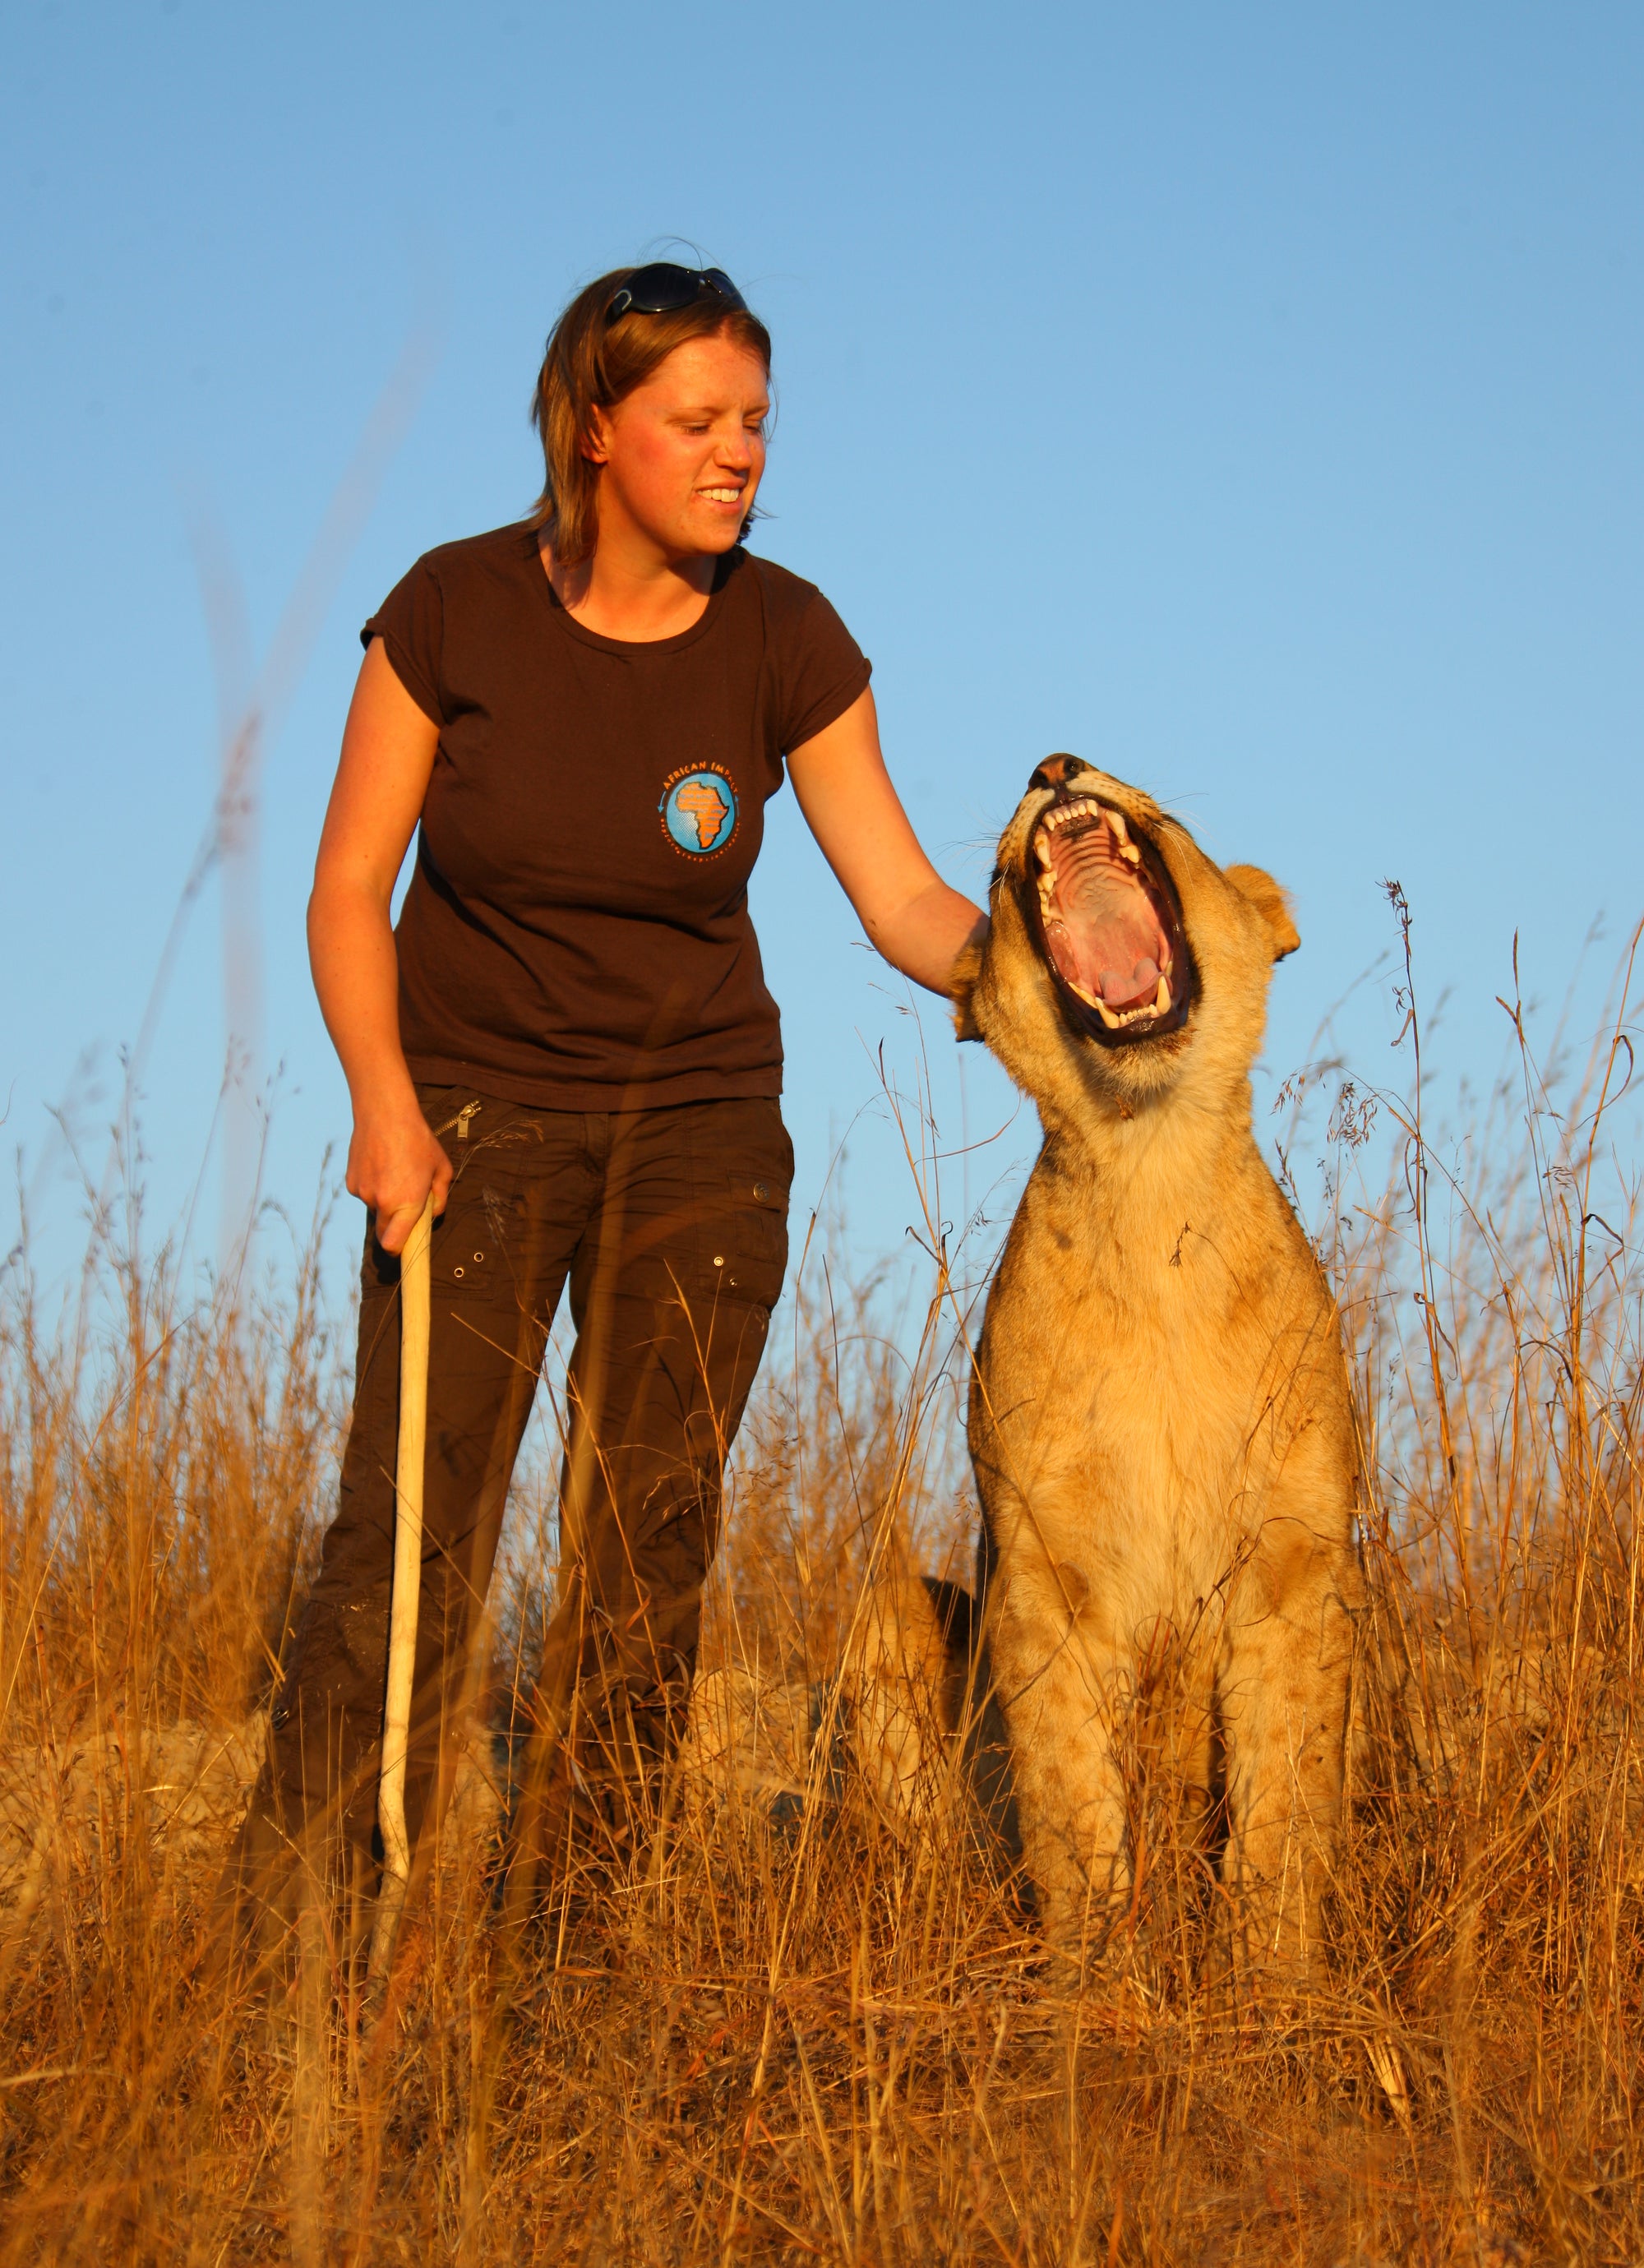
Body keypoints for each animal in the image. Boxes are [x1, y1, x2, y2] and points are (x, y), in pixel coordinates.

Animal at [856, 755, 1360, 1985]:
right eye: (1000, 879)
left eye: (1167, 814)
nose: (1051, 765)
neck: (1150, 1165)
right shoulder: (1046, 1576)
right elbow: (1072, 1796)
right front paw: (1096, 1989)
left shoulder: (1297, 1565)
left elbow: (1284, 1795)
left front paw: (1275, 1987)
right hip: (888, 1611)